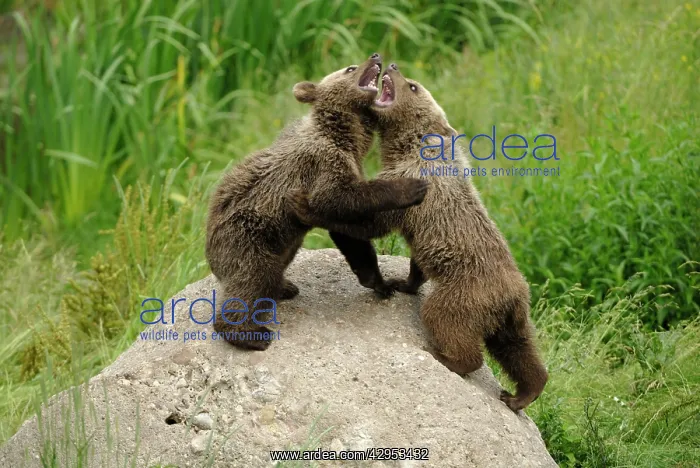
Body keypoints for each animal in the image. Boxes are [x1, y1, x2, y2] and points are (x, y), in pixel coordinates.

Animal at [206, 55, 429, 351]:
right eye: (349, 68)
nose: (376, 56)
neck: (346, 136)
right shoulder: (322, 163)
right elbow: (339, 198)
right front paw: (412, 187)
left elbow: (350, 235)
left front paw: (382, 283)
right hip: (245, 237)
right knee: (252, 277)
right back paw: (251, 333)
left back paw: (284, 287)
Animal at [285, 63, 548, 411]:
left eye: (412, 86)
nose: (392, 65)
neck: (406, 147)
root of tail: (511, 296)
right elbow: (415, 261)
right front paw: (403, 282)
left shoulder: (412, 186)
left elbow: (369, 221)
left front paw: (308, 206)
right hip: (511, 316)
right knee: (519, 351)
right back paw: (520, 394)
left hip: (464, 293)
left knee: (447, 322)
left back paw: (445, 357)